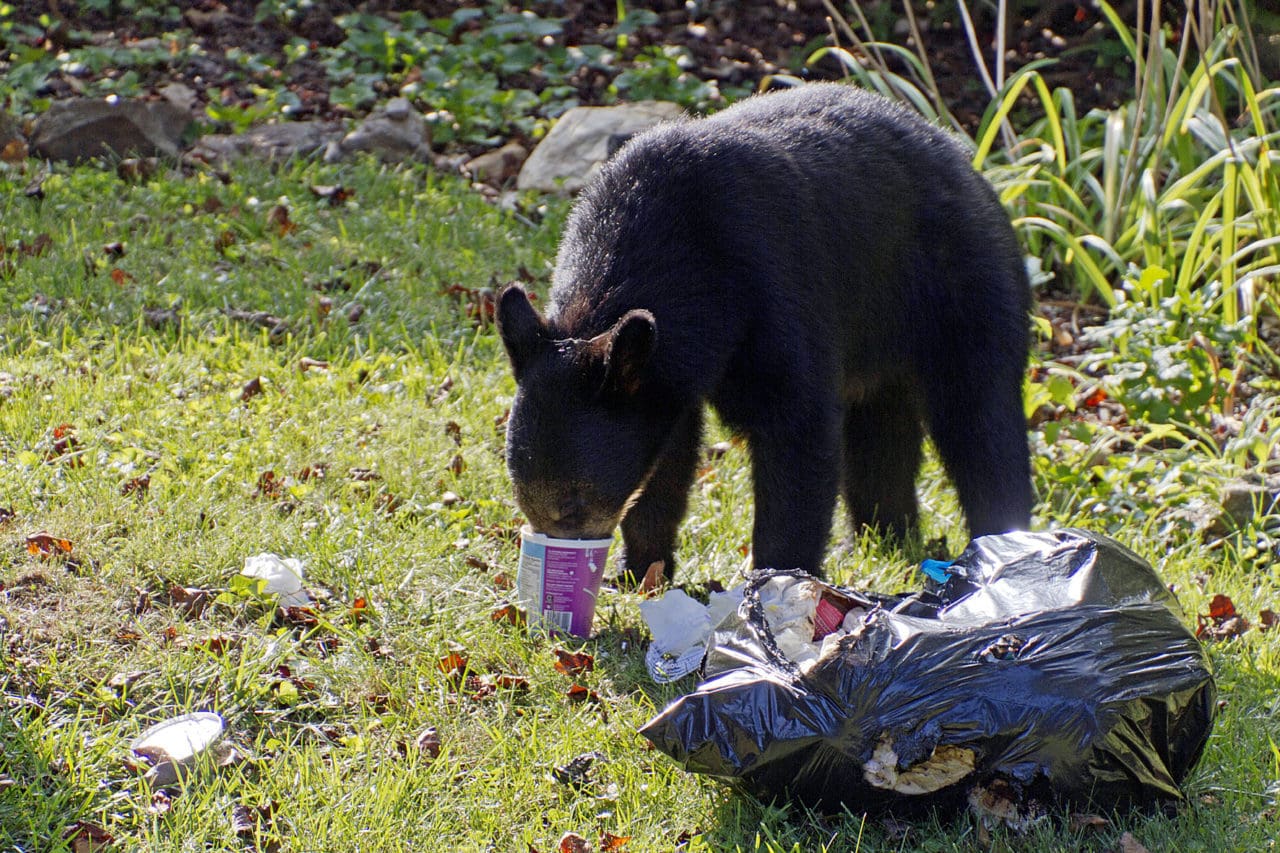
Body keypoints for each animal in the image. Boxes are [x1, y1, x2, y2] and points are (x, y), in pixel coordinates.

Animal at [494, 83, 1034, 581]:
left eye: (574, 504)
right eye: (525, 500)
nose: (561, 559)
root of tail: (968, 162)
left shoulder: (773, 287)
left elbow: (798, 427)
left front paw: (778, 579)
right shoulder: (665, 371)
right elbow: (668, 457)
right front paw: (641, 569)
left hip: (962, 288)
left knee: (980, 418)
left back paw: (1002, 545)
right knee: (881, 435)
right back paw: (880, 539)